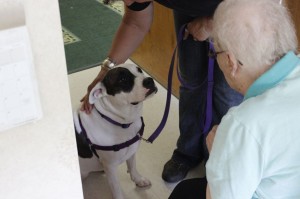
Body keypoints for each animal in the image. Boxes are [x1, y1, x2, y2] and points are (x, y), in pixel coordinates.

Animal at [73, 63, 157, 199]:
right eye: (122, 79)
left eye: (139, 70)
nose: (149, 81)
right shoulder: (110, 166)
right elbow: (116, 188)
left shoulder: (132, 150)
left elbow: (132, 166)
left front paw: (138, 179)